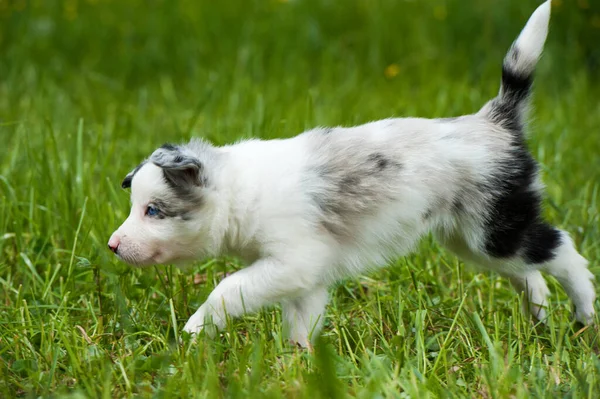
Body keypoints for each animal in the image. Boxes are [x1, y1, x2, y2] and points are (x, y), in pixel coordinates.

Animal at [109, 0, 596, 346]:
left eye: (154, 210)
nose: (113, 246)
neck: (236, 189)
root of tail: (494, 119)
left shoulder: (291, 261)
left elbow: (227, 290)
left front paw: (194, 332)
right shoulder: (305, 277)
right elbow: (299, 323)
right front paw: (297, 366)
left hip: (497, 226)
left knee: (564, 250)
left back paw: (585, 315)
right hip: (475, 239)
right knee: (529, 271)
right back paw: (540, 321)